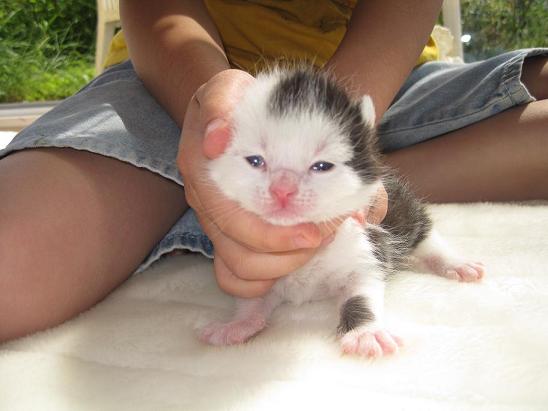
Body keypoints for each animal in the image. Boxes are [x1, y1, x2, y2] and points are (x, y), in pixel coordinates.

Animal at [198, 67, 484, 358]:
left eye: (322, 166)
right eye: (255, 161)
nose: (282, 190)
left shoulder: (365, 246)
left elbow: (361, 294)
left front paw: (366, 333)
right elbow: (251, 301)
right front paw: (238, 324)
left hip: (401, 206)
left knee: (425, 232)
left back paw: (454, 262)